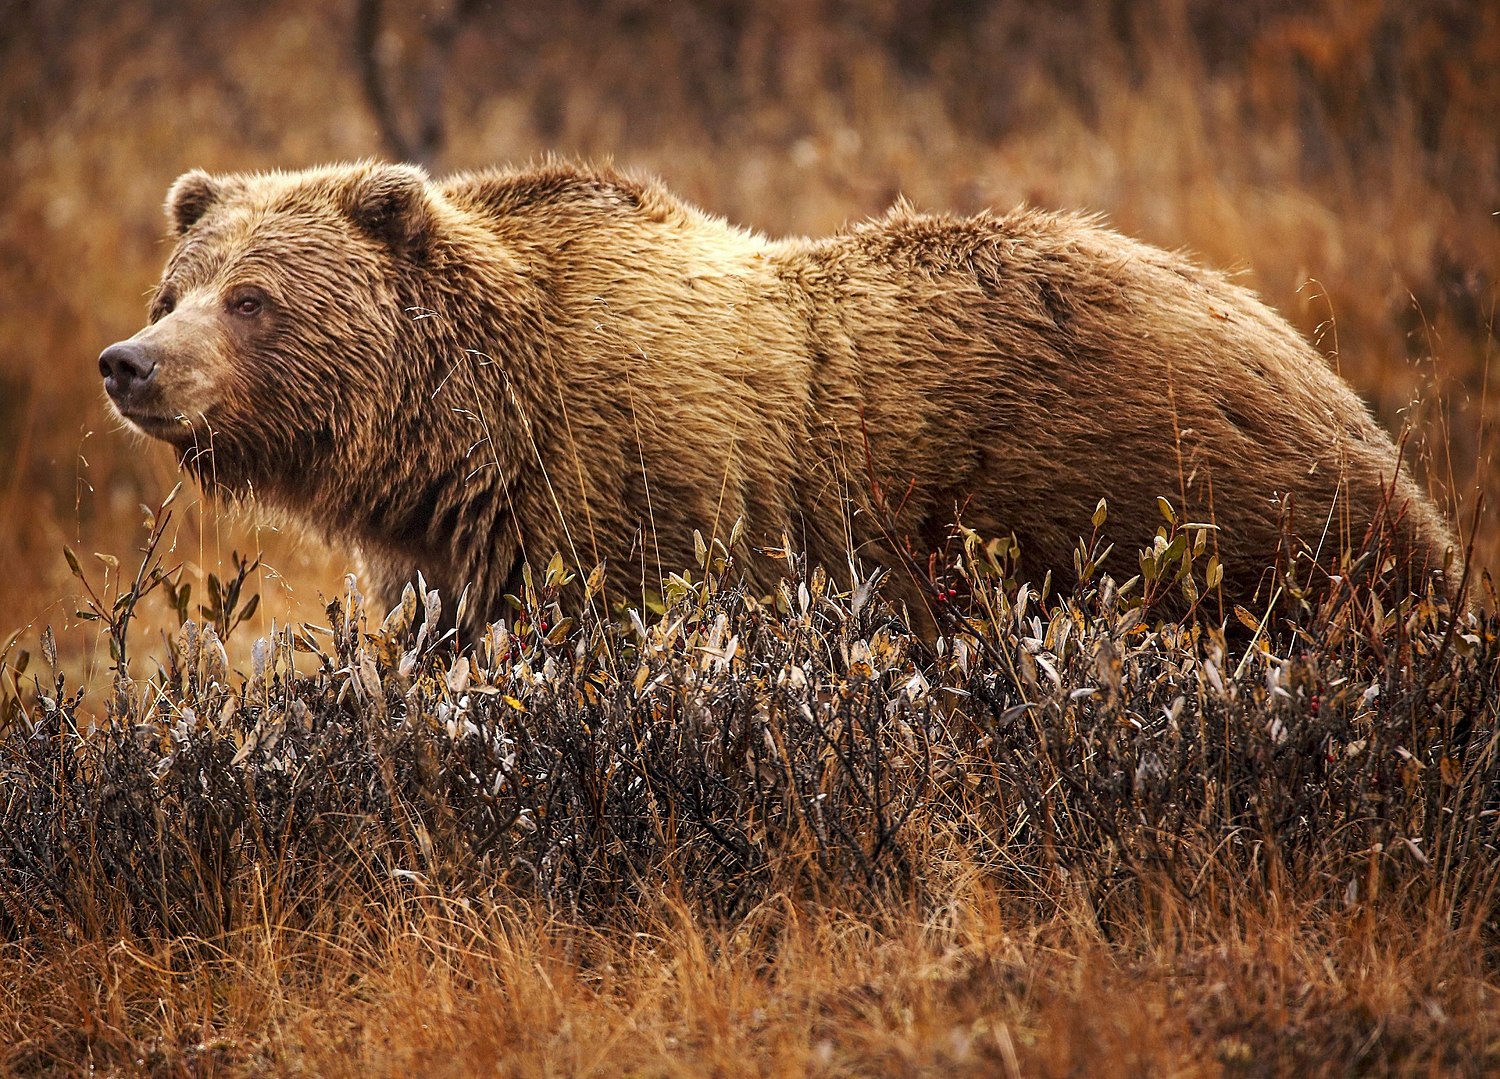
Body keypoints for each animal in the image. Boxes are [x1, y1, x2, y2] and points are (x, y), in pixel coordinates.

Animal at [96, 160, 1452, 633]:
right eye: (177, 284)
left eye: (254, 298)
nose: (130, 361)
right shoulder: (461, 555)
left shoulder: (638, 498)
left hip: (1191, 511)